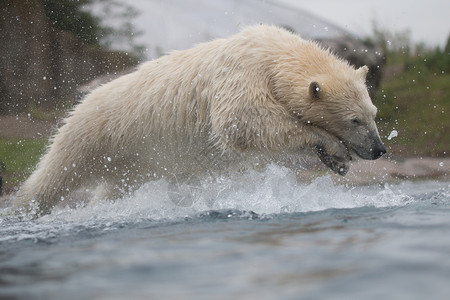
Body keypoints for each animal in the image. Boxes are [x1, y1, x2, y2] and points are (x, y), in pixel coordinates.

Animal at [13, 24, 384, 214]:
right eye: (354, 120)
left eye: (373, 114)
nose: (378, 149)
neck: (275, 52)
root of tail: (85, 98)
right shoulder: (242, 74)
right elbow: (243, 123)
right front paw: (334, 148)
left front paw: (337, 161)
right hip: (95, 131)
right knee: (57, 172)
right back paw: (24, 207)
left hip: (132, 161)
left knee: (109, 189)